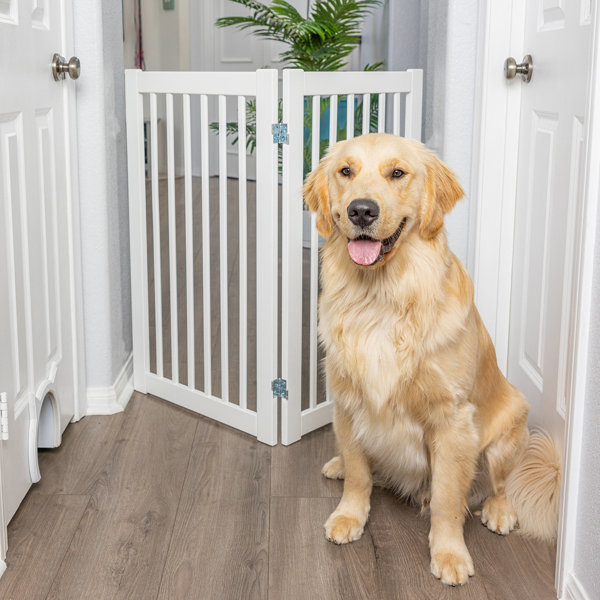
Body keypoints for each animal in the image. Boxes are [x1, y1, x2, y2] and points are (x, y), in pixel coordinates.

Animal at [304, 132, 564, 584]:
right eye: (345, 171)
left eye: (397, 173)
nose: (361, 210)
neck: (381, 298)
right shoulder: (347, 402)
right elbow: (359, 474)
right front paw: (349, 516)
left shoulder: (452, 420)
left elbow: (445, 498)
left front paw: (449, 554)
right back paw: (337, 464)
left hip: (506, 432)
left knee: (502, 484)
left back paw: (499, 511)